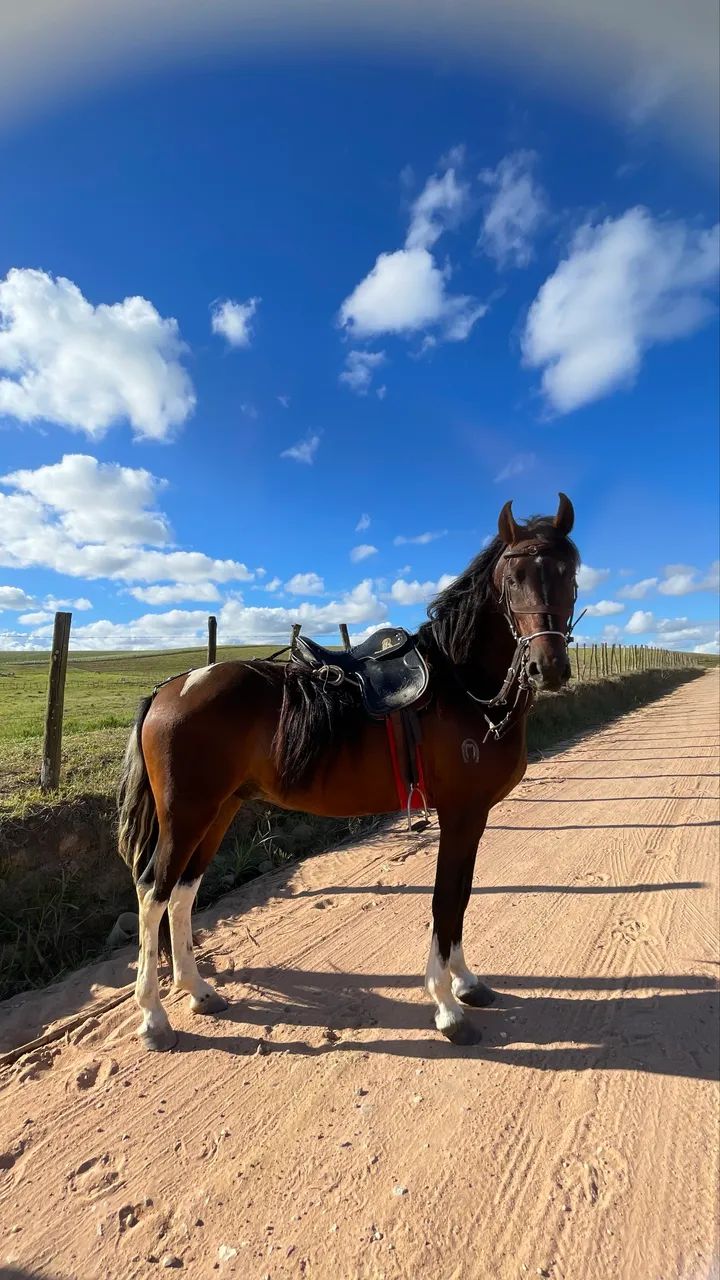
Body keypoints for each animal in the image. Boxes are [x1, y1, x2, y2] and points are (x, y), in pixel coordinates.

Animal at [118, 493, 579, 1051]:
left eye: (570, 572)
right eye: (512, 579)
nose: (546, 667)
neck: (460, 685)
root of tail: (172, 687)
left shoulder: (472, 818)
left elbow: (462, 898)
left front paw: (466, 984)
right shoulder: (460, 813)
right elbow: (445, 900)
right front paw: (447, 1007)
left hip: (218, 810)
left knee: (183, 893)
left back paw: (199, 991)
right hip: (186, 814)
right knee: (153, 894)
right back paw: (153, 1017)